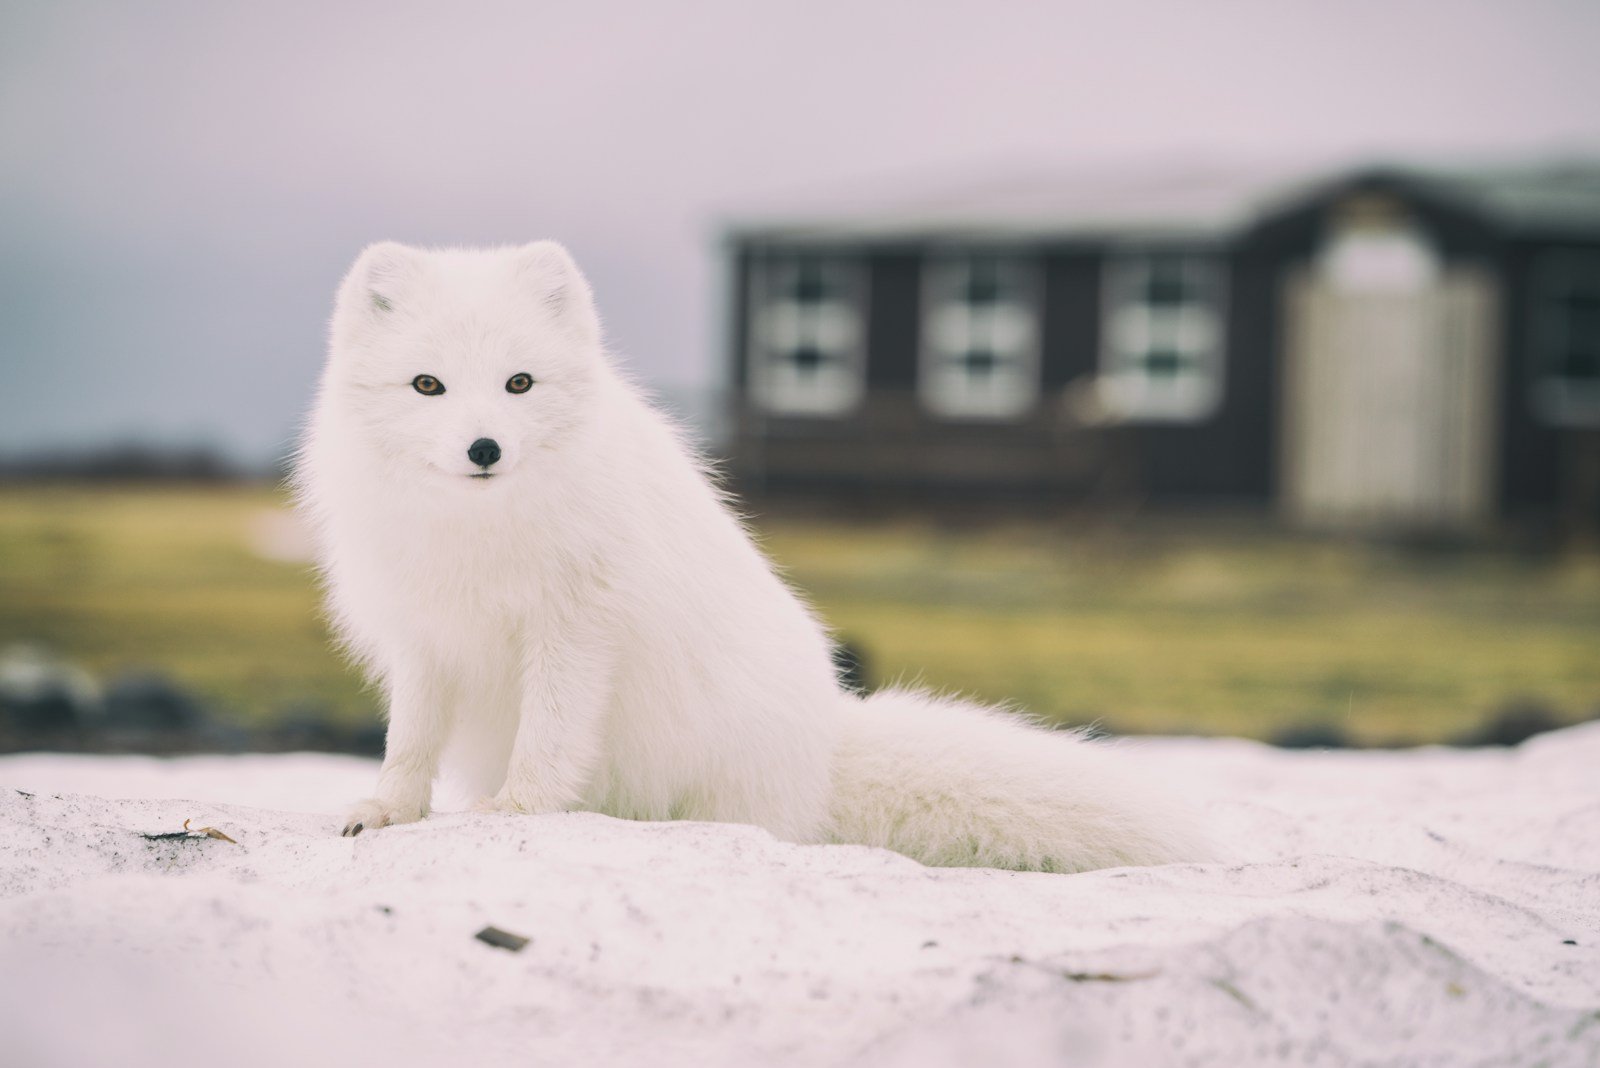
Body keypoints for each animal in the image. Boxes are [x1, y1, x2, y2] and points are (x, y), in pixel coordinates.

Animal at [293, 241, 1212, 872]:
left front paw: (515, 810)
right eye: (428, 385)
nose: (484, 449)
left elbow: (549, 734)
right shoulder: (422, 638)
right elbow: (408, 741)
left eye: (519, 384)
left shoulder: (575, 626)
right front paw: (385, 811)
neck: (478, 532)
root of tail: (825, 747)